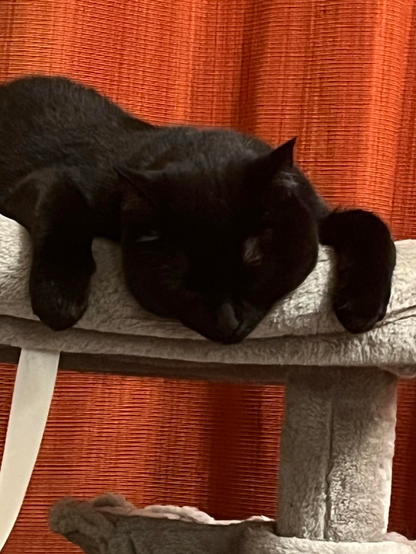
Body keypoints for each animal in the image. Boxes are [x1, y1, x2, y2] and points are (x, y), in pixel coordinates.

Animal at [0, 73, 396, 340]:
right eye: (182, 283)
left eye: (253, 264)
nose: (227, 322)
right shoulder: (48, 180)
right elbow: (62, 208)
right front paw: (59, 298)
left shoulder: (318, 217)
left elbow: (370, 224)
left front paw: (361, 306)